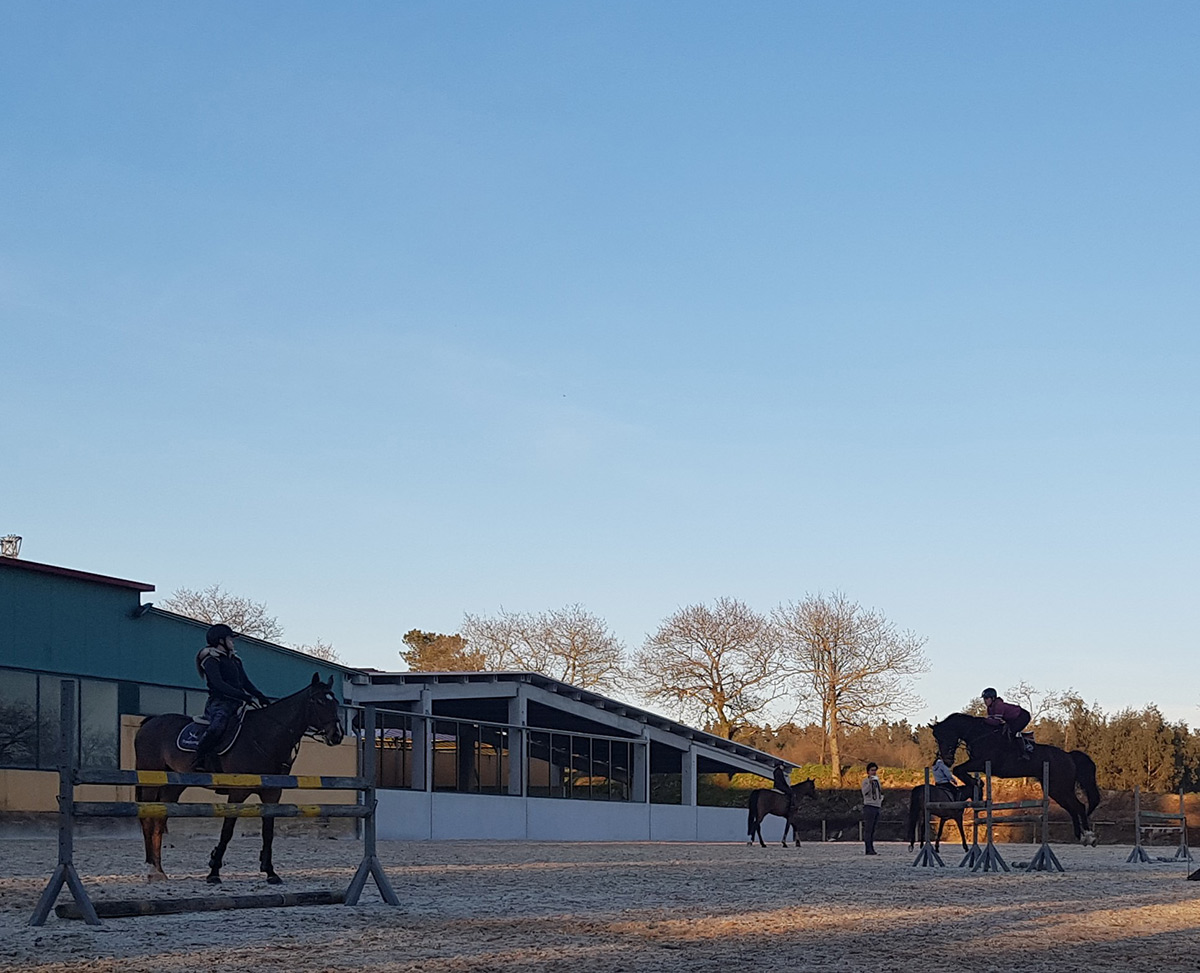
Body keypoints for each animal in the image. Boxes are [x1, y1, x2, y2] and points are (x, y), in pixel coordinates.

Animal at [133, 671, 345, 887]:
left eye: (335, 702)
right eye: (319, 701)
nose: (336, 735)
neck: (264, 735)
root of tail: (150, 722)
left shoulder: (272, 793)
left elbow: (268, 831)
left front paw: (270, 872)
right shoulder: (237, 792)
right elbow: (227, 830)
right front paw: (214, 871)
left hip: (174, 785)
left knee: (159, 821)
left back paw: (159, 870)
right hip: (151, 779)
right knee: (147, 820)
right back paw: (151, 869)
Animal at [931, 710, 1099, 849]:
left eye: (945, 736)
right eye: (937, 739)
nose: (946, 760)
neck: (979, 735)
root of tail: (1069, 756)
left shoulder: (981, 761)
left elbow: (958, 769)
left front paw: (976, 783)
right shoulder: (978, 763)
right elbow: (959, 770)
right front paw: (977, 783)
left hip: (1061, 786)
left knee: (1079, 806)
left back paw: (1089, 836)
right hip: (1055, 789)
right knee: (1072, 808)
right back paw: (1080, 836)